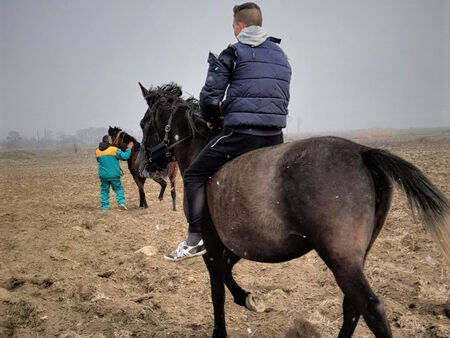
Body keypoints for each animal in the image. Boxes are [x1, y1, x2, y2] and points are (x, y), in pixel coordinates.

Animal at [137, 82, 450, 338]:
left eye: (144, 123)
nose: (143, 164)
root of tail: (363, 153)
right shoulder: (239, 245)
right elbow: (227, 273)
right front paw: (249, 298)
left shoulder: (212, 246)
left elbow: (217, 293)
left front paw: (223, 328)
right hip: (355, 257)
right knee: (352, 306)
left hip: (341, 258)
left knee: (370, 308)